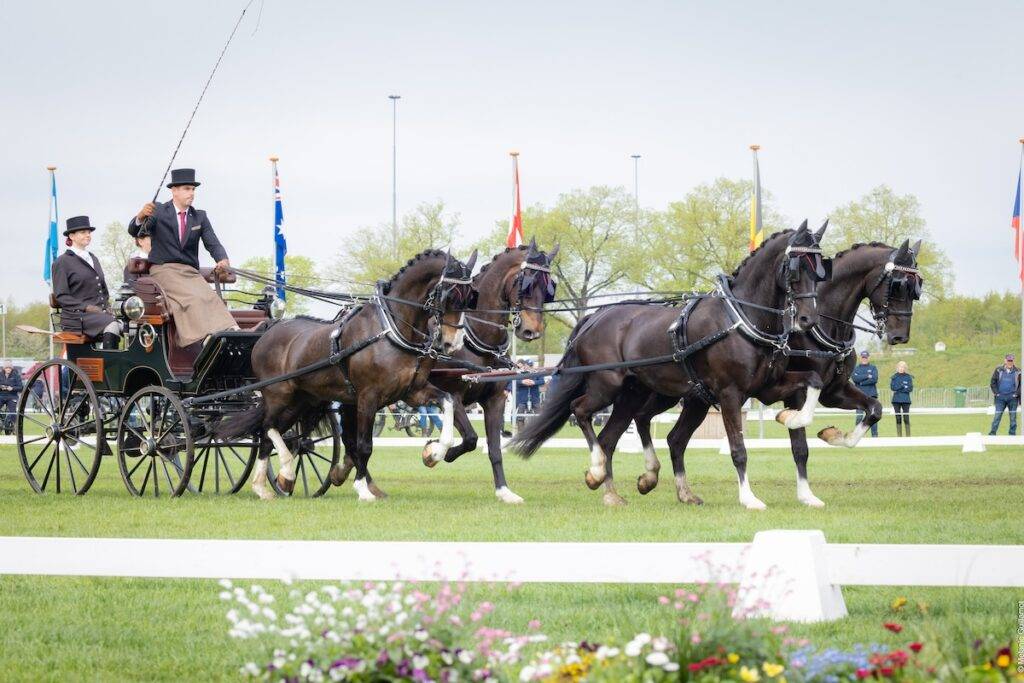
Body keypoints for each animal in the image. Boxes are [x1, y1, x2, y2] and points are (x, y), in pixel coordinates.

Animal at [216, 249, 476, 501]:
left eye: (470, 298)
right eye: (449, 296)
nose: (452, 343)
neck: (391, 329)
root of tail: (268, 332)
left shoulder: (412, 391)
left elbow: (448, 401)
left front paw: (434, 452)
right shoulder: (368, 397)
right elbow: (363, 445)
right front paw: (362, 489)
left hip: (301, 400)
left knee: (272, 435)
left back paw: (271, 483)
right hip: (278, 394)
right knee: (267, 428)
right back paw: (279, 476)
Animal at [416, 239, 559, 504]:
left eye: (548, 288)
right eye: (525, 282)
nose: (532, 331)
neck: (476, 340)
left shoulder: (495, 400)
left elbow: (494, 448)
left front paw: (504, 491)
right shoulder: (455, 396)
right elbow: (471, 438)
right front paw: (436, 452)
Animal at [510, 221, 831, 510]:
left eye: (820, 270)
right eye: (795, 268)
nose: (808, 319)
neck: (741, 317)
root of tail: (595, 317)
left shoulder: (767, 387)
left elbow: (813, 382)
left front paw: (793, 420)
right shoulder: (730, 394)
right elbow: (738, 449)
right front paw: (749, 498)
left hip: (638, 394)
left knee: (615, 437)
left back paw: (619, 491)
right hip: (607, 387)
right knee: (581, 411)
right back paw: (598, 471)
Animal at [594, 238, 924, 509]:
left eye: (916, 287)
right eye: (897, 285)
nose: (899, 335)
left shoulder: (835, 392)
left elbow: (874, 409)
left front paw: (832, 438)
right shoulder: (788, 392)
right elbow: (799, 443)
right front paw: (791, 429)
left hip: (689, 396)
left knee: (669, 436)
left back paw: (660, 484)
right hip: (658, 392)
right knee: (636, 423)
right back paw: (630, 477)